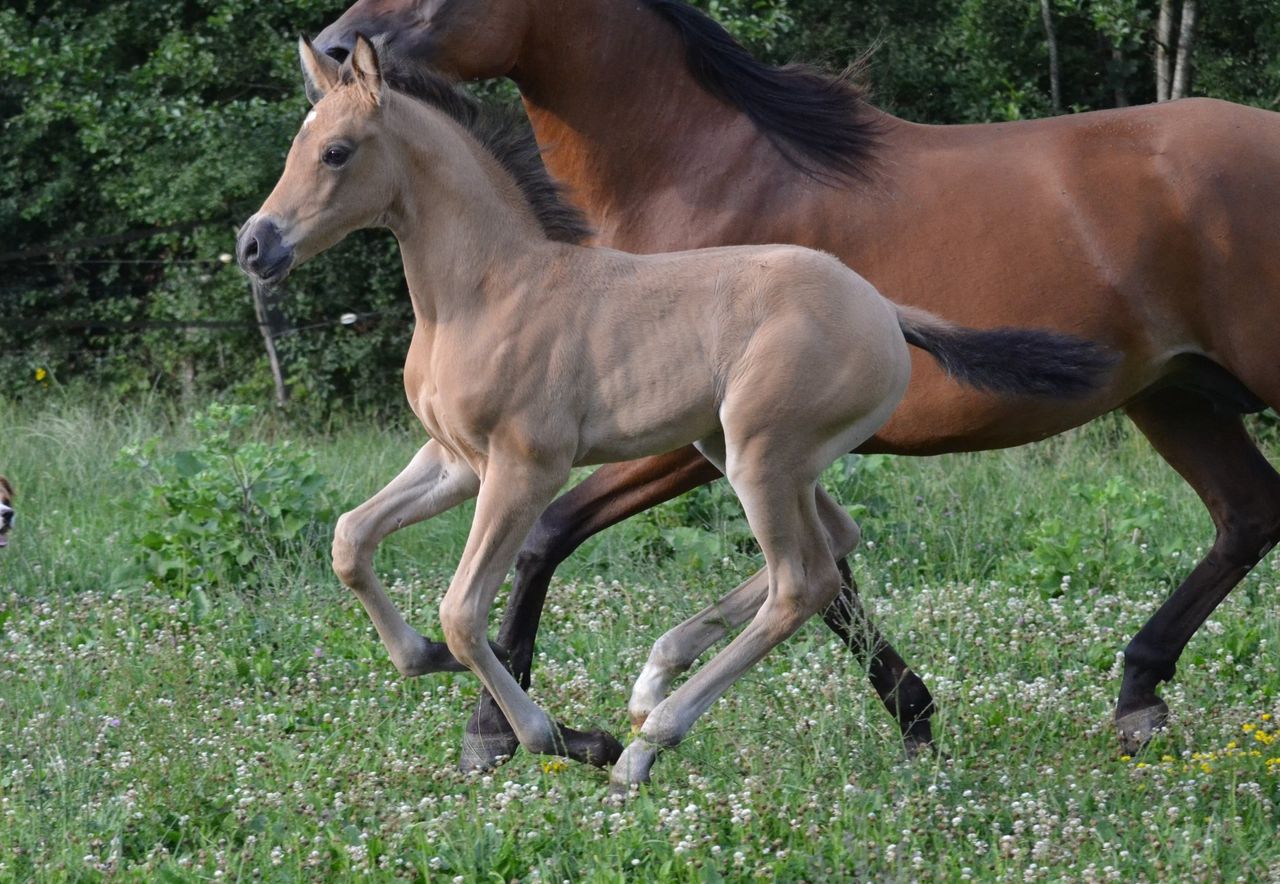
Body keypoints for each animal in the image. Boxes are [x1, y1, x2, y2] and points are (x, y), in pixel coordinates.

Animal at [314, 0, 1280, 767]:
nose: (331, 47)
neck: (695, 172)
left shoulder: (688, 442)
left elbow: (549, 538)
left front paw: (505, 730)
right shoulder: (738, 446)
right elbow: (832, 575)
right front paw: (913, 715)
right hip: (1174, 396)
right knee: (1247, 514)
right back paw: (1138, 699)